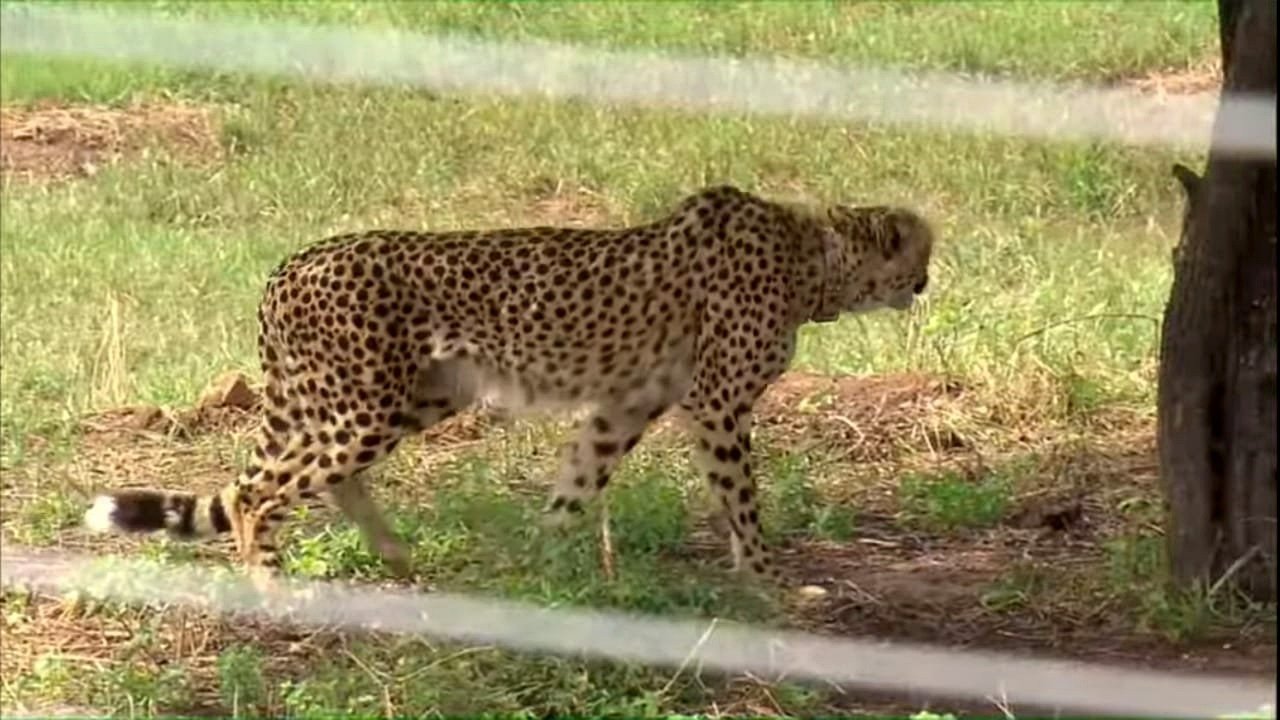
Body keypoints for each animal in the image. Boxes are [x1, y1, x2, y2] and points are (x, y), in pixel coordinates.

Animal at [83, 184, 935, 592]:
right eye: (918, 251)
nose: (928, 280)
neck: (813, 258)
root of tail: (290, 263)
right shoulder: (717, 404)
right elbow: (742, 503)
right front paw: (766, 582)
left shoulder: (625, 405)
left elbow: (577, 486)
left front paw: (541, 567)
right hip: (363, 403)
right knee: (257, 493)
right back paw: (272, 584)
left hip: (417, 395)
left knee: (319, 480)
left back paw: (397, 557)